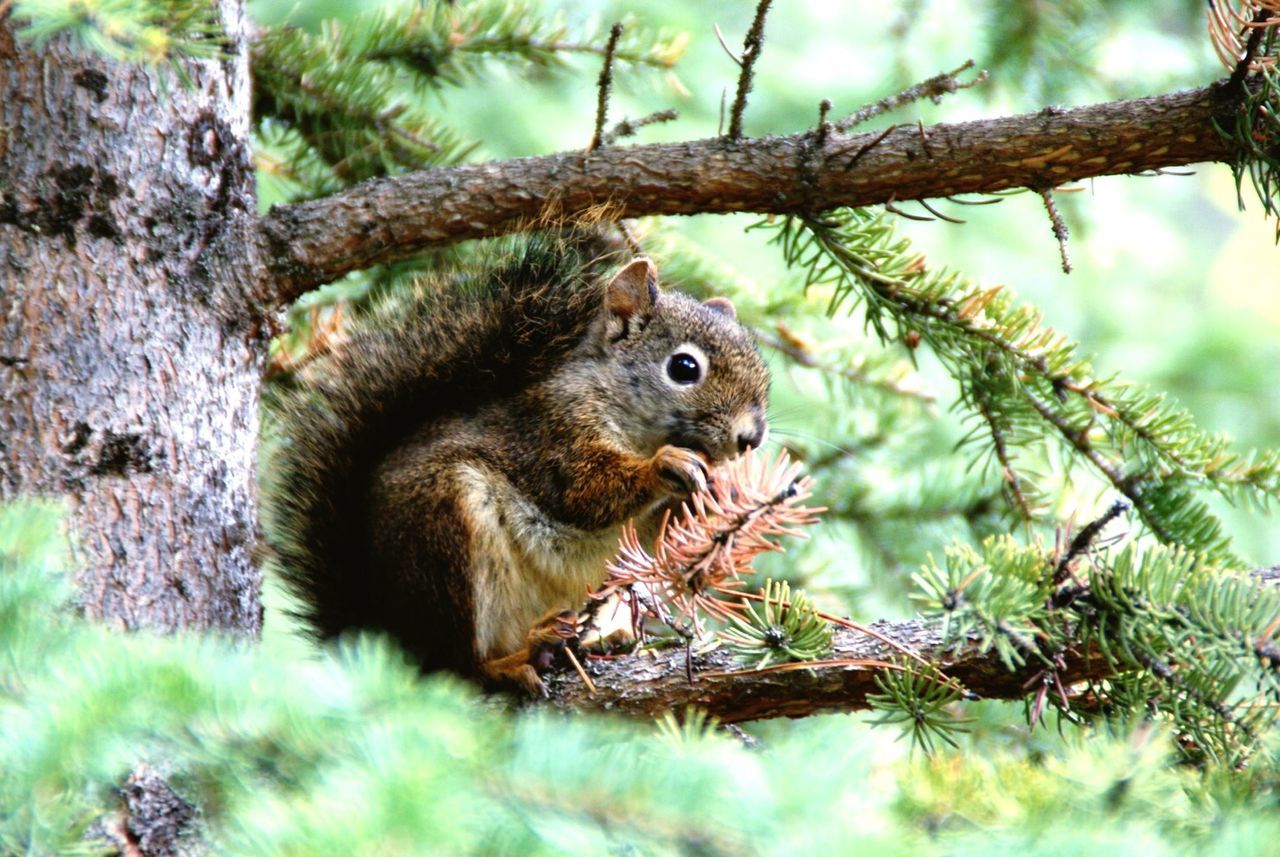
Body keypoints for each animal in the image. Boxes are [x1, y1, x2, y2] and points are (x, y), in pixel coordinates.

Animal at [264, 231, 768, 695]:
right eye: (684, 368)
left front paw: (721, 491)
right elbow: (584, 491)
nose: (751, 438)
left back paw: (594, 640)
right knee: (456, 665)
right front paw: (667, 465)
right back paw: (513, 662)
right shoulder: (553, 433)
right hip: (442, 530)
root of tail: (381, 631)